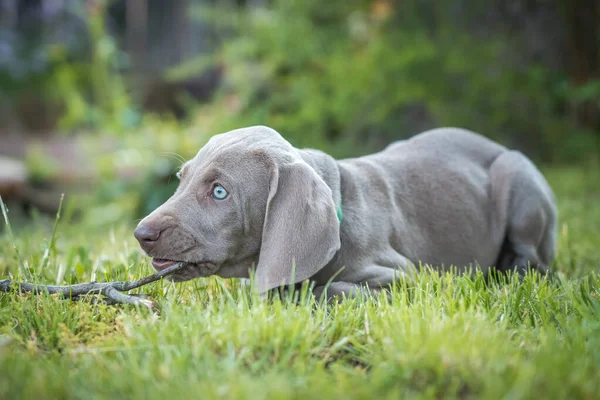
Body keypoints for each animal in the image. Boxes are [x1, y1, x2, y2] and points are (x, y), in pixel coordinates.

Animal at [134, 126, 556, 298]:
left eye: (219, 191)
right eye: (182, 179)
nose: (141, 234)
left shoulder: (407, 277)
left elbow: (328, 288)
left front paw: (297, 293)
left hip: (516, 174)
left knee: (534, 261)